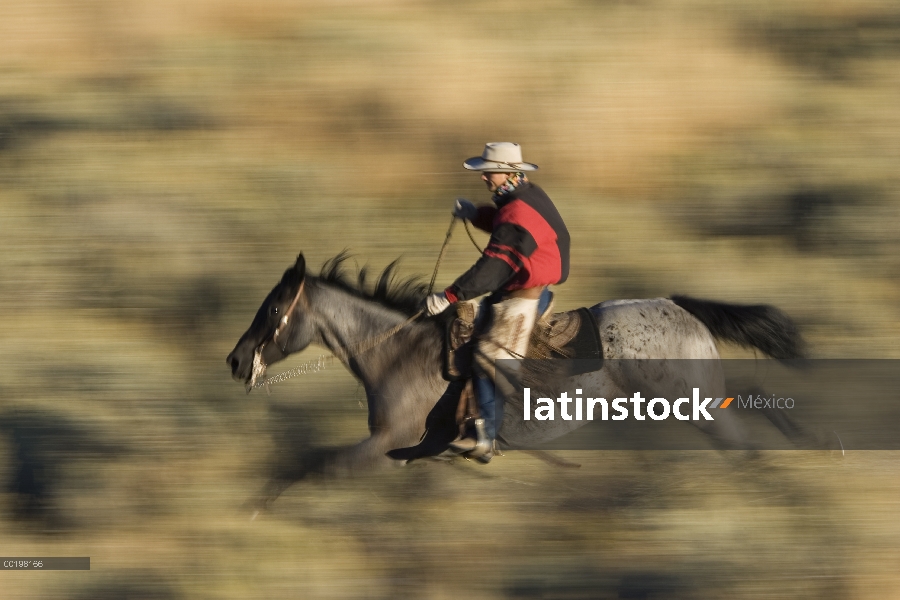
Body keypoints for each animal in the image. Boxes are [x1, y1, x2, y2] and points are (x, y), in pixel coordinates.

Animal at [229, 251, 804, 508]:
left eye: (274, 308)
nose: (235, 361)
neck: (398, 353)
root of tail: (676, 304)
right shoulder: (409, 454)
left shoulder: (388, 445)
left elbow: (318, 468)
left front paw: (261, 509)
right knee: (750, 403)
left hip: (689, 402)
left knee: (744, 439)